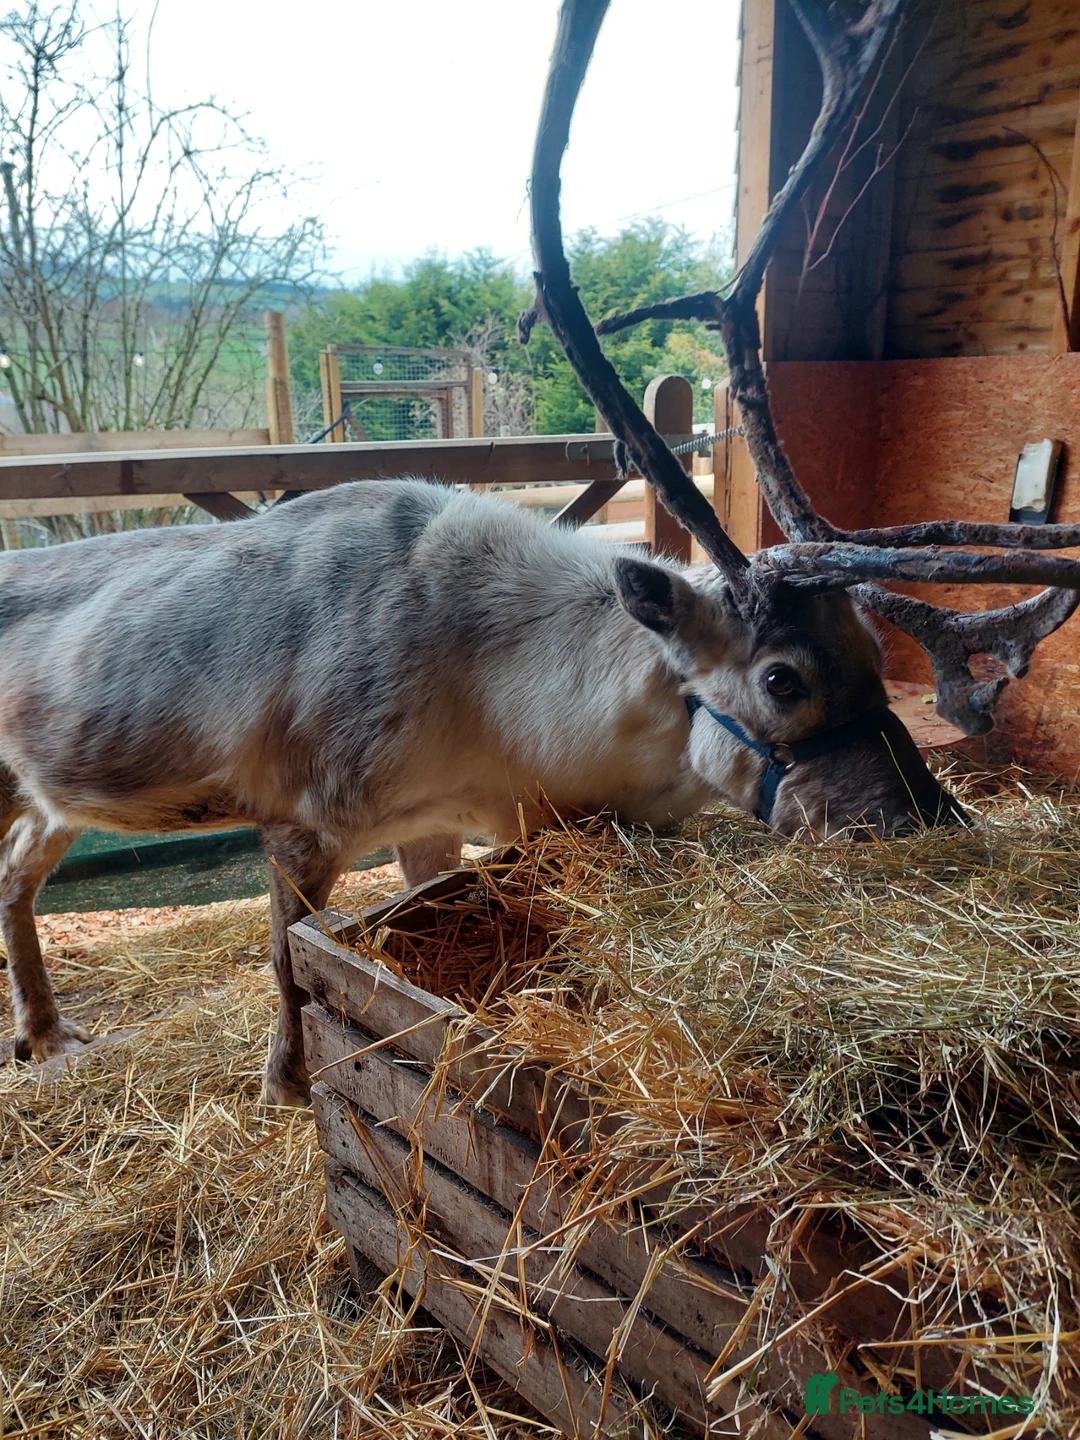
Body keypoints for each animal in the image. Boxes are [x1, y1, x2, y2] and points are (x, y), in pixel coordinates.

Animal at [2, 0, 1079, 1109]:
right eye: (784, 677)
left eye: (872, 650)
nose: (929, 827)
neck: (501, 699)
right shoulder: (304, 817)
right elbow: (286, 961)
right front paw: (289, 1088)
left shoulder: (434, 822)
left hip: (42, 792)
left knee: (16, 869)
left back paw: (45, 1032)